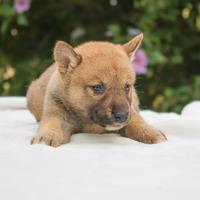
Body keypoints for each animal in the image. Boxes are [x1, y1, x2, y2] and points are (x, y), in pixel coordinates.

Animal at [27, 33, 167, 147]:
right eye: (98, 87)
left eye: (127, 87)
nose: (122, 116)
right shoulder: (55, 114)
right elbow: (51, 124)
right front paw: (46, 136)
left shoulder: (131, 111)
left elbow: (137, 121)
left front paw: (150, 132)